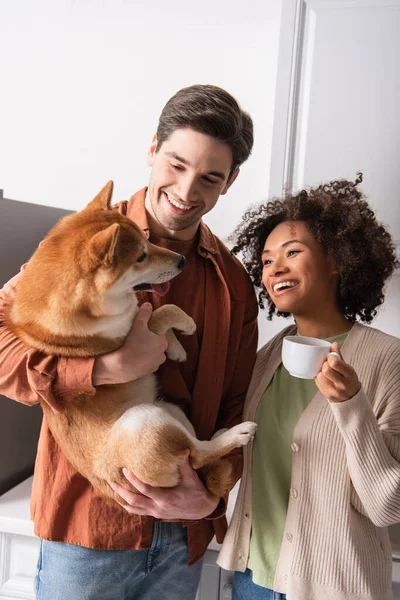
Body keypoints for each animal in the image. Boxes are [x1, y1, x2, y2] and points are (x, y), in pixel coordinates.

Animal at [5, 180, 256, 504]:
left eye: (146, 242)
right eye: (140, 257)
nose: (181, 260)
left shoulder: (137, 313)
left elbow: (154, 311)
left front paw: (175, 348)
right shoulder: (132, 333)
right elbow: (162, 311)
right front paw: (184, 327)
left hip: (169, 411)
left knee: (195, 449)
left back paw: (217, 435)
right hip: (145, 421)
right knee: (198, 454)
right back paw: (236, 434)